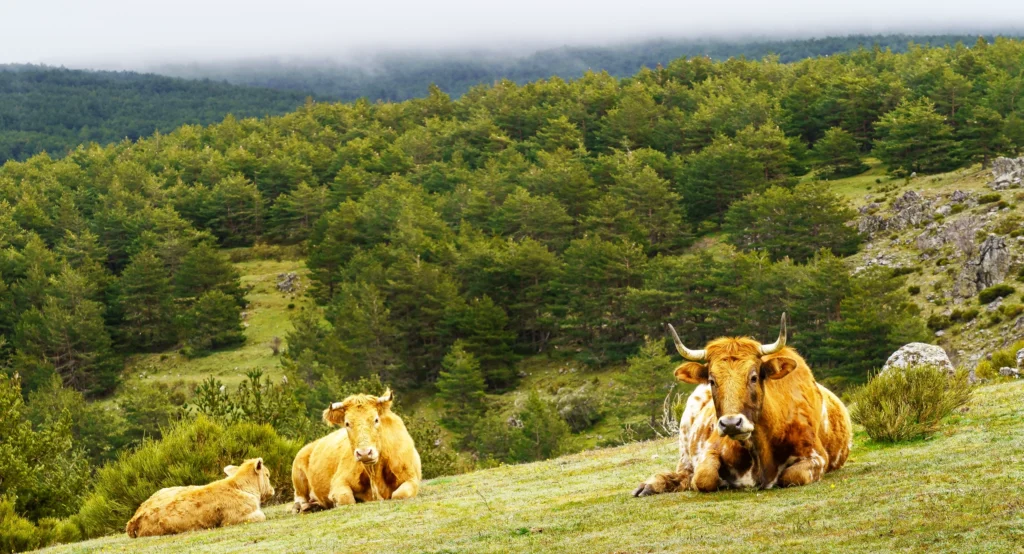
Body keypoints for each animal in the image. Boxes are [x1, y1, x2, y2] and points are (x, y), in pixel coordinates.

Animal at [126, 458, 274, 537]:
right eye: (267, 474)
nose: (272, 490)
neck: (239, 486)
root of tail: (133, 519)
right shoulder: (237, 518)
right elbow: (262, 516)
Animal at [291, 388, 421, 512]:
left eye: (376, 420)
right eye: (347, 423)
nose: (364, 453)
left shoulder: (411, 478)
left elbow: (400, 494)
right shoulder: (339, 481)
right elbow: (346, 498)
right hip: (297, 474)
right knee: (300, 497)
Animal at [633, 314, 851, 496]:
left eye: (753, 377)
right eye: (712, 380)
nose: (731, 423)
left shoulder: (817, 456)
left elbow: (791, 476)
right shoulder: (710, 448)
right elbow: (703, 477)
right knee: (684, 473)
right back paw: (650, 485)